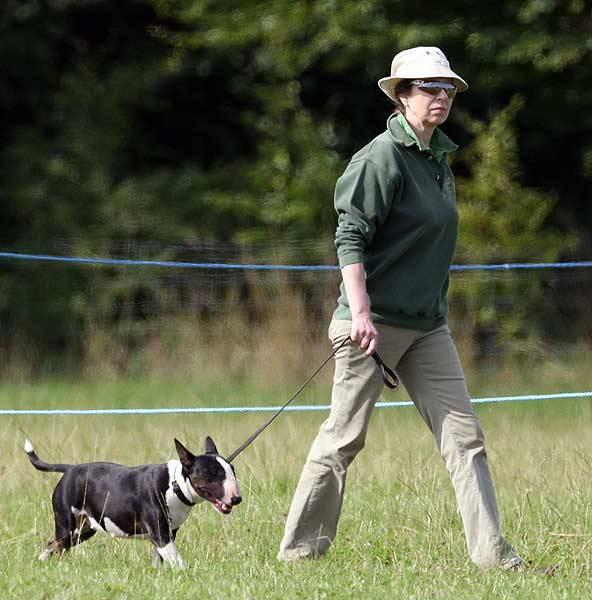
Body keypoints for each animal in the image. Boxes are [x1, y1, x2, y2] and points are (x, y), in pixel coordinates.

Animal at [23, 436, 240, 568]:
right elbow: (177, 561)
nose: (237, 498)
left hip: (83, 529)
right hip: (67, 523)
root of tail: (69, 469)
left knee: (55, 544)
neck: (175, 484)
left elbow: (160, 559)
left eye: (232, 470)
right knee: (57, 543)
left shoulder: (168, 533)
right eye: (214, 473)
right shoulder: (160, 534)